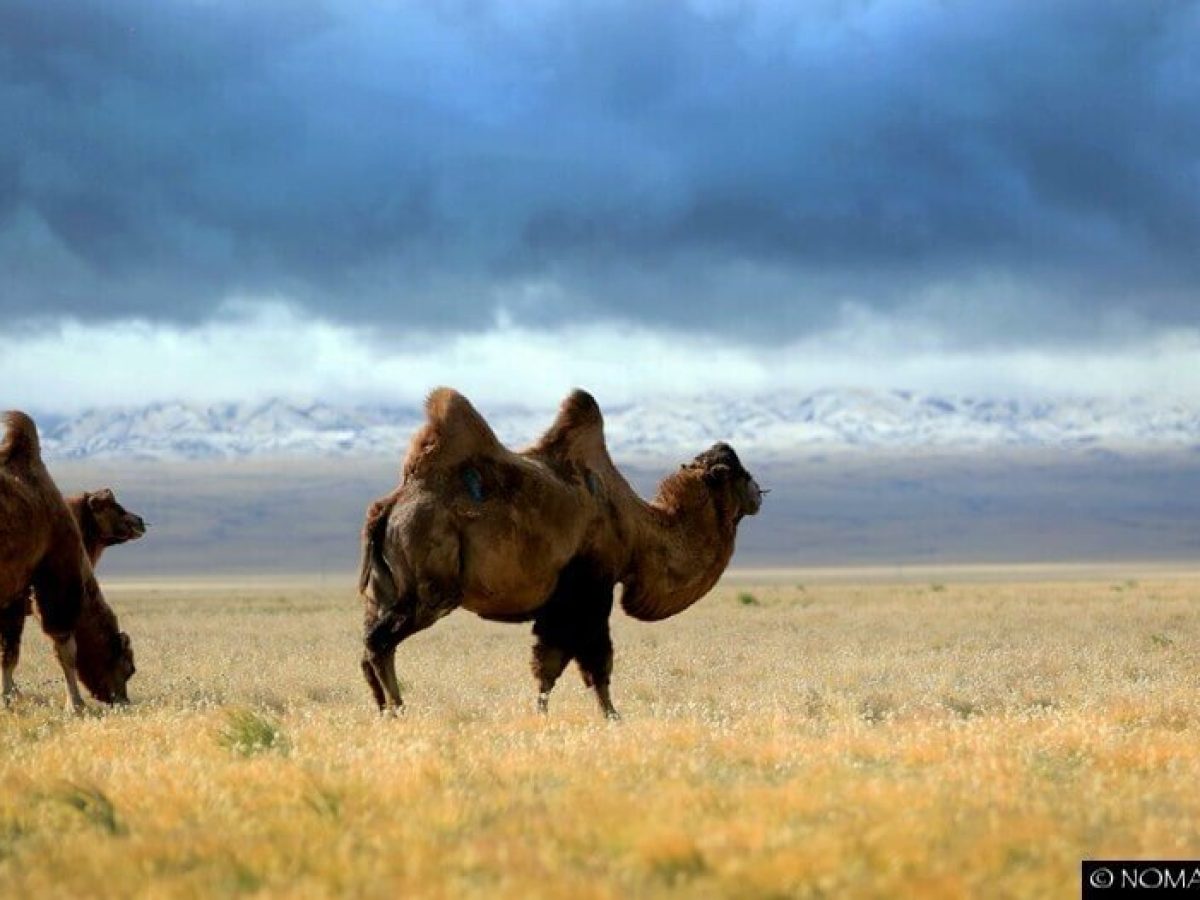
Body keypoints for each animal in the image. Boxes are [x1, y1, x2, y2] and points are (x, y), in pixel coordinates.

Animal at [360, 388, 763, 720]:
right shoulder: (591, 589)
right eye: (740, 474)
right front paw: (612, 717)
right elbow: (592, 661)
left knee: (368, 649)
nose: (759, 493)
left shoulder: (560, 602)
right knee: (379, 642)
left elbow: (549, 665)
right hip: (432, 587)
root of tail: (390, 507)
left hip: (383, 590)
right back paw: (399, 710)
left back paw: (383, 712)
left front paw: (543, 715)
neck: (637, 530)